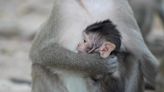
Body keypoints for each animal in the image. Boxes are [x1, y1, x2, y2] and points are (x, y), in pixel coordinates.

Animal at [30, 0, 158, 92]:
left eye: (85, 41)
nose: (79, 45)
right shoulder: (60, 8)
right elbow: (40, 51)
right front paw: (97, 64)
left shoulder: (122, 8)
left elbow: (144, 57)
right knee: (39, 67)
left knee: (135, 58)